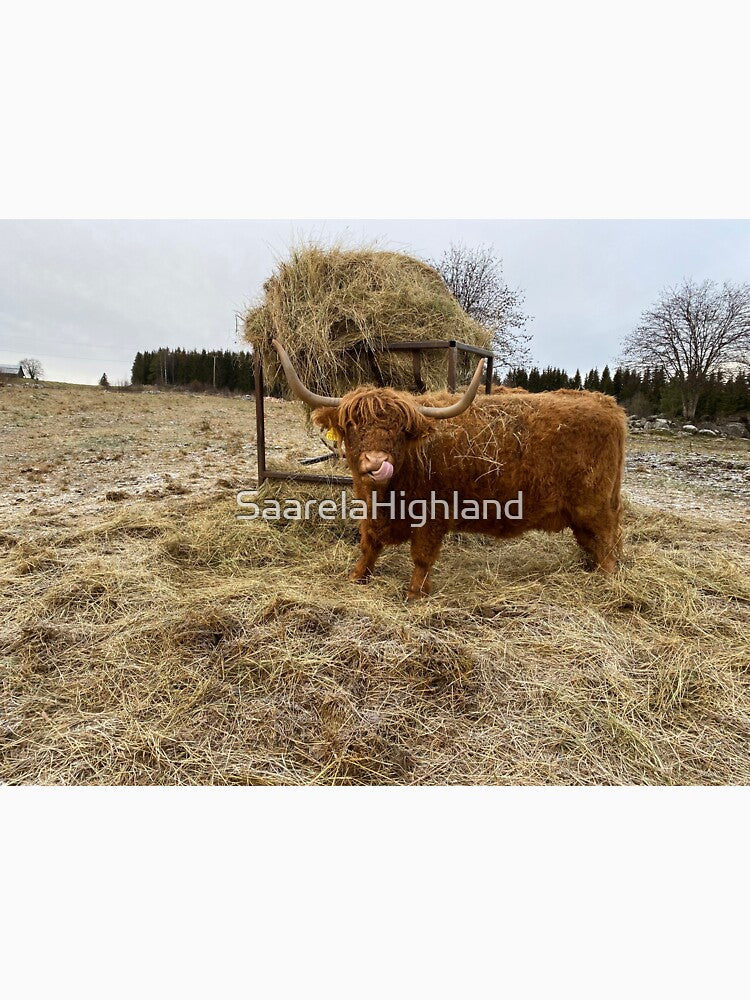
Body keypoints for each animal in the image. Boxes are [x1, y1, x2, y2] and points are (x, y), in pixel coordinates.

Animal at [272, 340, 627, 601]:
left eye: (400, 430)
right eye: (351, 425)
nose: (376, 463)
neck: (387, 495)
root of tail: (608, 405)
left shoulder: (433, 516)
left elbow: (421, 556)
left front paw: (415, 593)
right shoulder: (371, 510)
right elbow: (369, 544)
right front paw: (357, 575)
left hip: (595, 504)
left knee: (607, 539)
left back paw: (605, 580)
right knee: (592, 541)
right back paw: (588, 568)